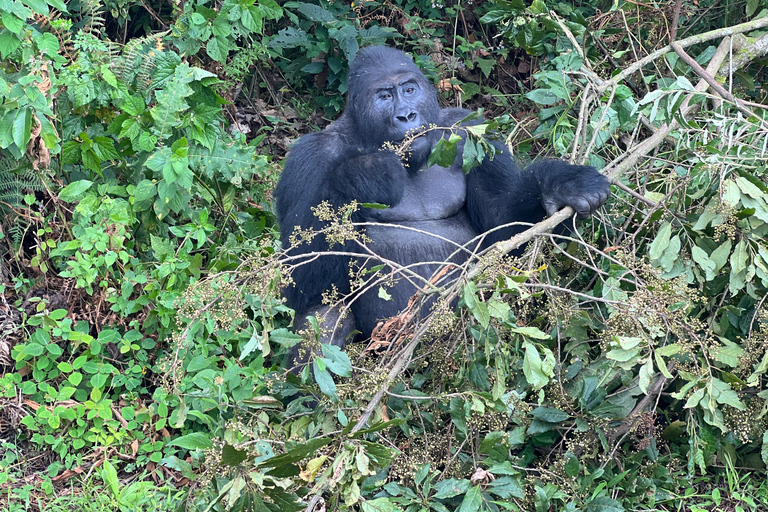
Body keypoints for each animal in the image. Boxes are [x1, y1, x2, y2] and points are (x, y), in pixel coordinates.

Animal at [276, 45, 612, 348]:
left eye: (409, 89)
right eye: (385, 96)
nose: (406, 115)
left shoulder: (470, 130)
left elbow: (502, 230)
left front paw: (562, 185)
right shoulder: (310, 156)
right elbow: (301, 280)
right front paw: (365, 174)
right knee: (322, 320)